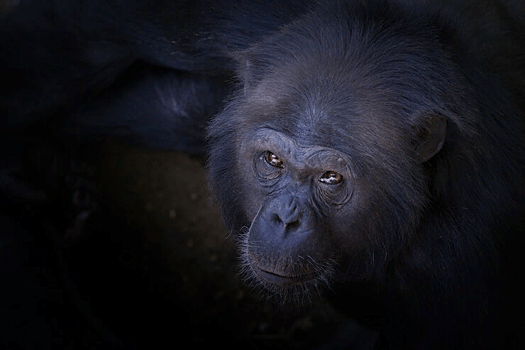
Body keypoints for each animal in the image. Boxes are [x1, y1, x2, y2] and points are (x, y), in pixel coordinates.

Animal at [2, 0, 520, 350]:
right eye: (273, 161)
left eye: (330, 179)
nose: (285, 219)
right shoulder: (241, 19)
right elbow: (92, 30)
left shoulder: (464, 250)